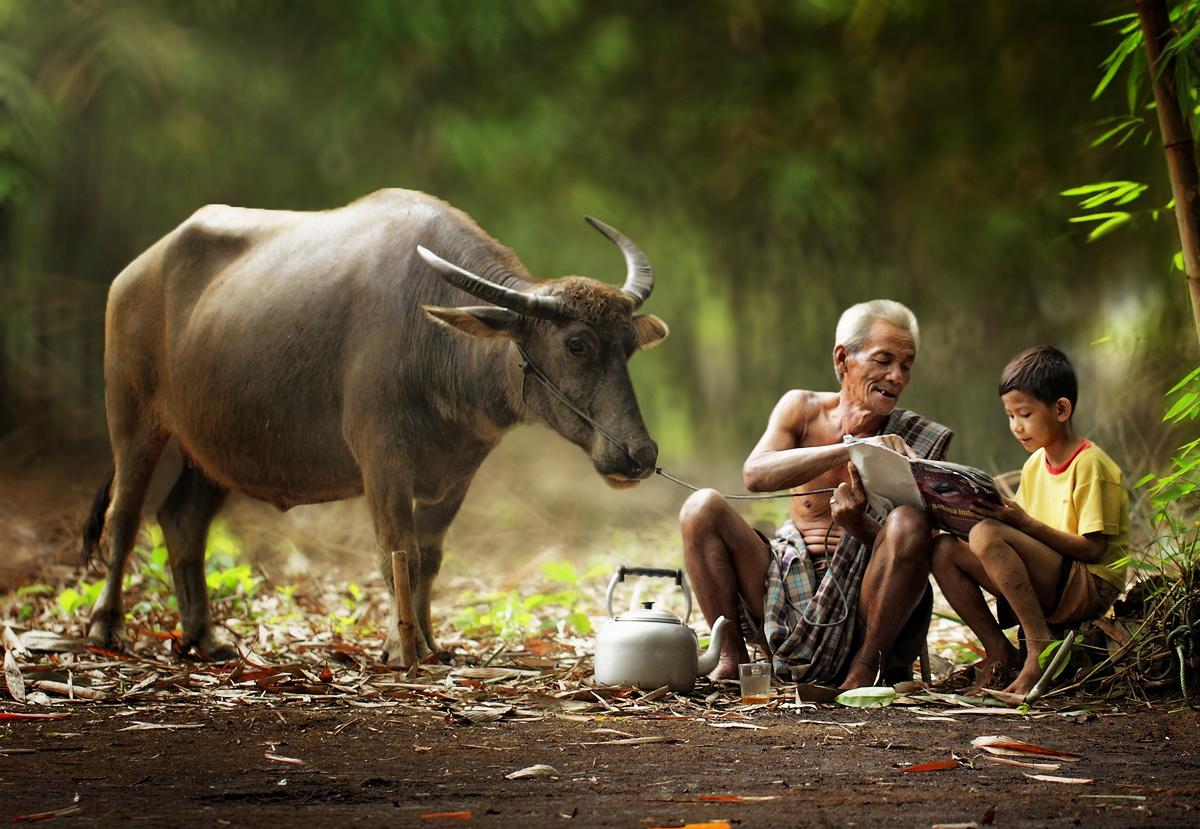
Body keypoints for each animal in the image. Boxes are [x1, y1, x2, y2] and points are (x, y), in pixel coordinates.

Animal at [79, 188, 672, 662]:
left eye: (627, 347)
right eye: (576, 344)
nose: (639, 454)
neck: (435, 344)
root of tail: (134, 274)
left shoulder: (456, 476)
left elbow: (428, 558)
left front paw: (431, 643)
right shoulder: (381, 460)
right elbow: (396, 553)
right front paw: (399, 648)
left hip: (214, 449)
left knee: (183, 520)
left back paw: (203, 637)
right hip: (133, 415)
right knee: (124, 514)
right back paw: (106, 628)